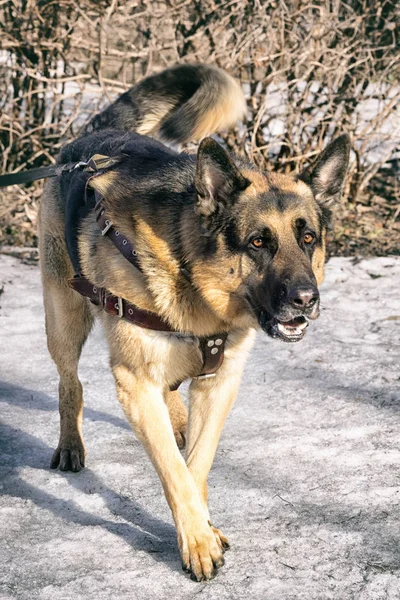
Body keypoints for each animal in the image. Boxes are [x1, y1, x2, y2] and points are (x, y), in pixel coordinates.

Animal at [38, 64, 350, 580]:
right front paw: (198, 543)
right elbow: (173, 470)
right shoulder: (135, 381)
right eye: (258, 242)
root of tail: (92, 139)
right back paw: (71, 444)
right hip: (64, 317)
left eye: (308, 238)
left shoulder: (220, 381)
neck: (194, 278)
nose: (307, 300)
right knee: (70, 384)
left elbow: (196, 464)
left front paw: (205, 525)